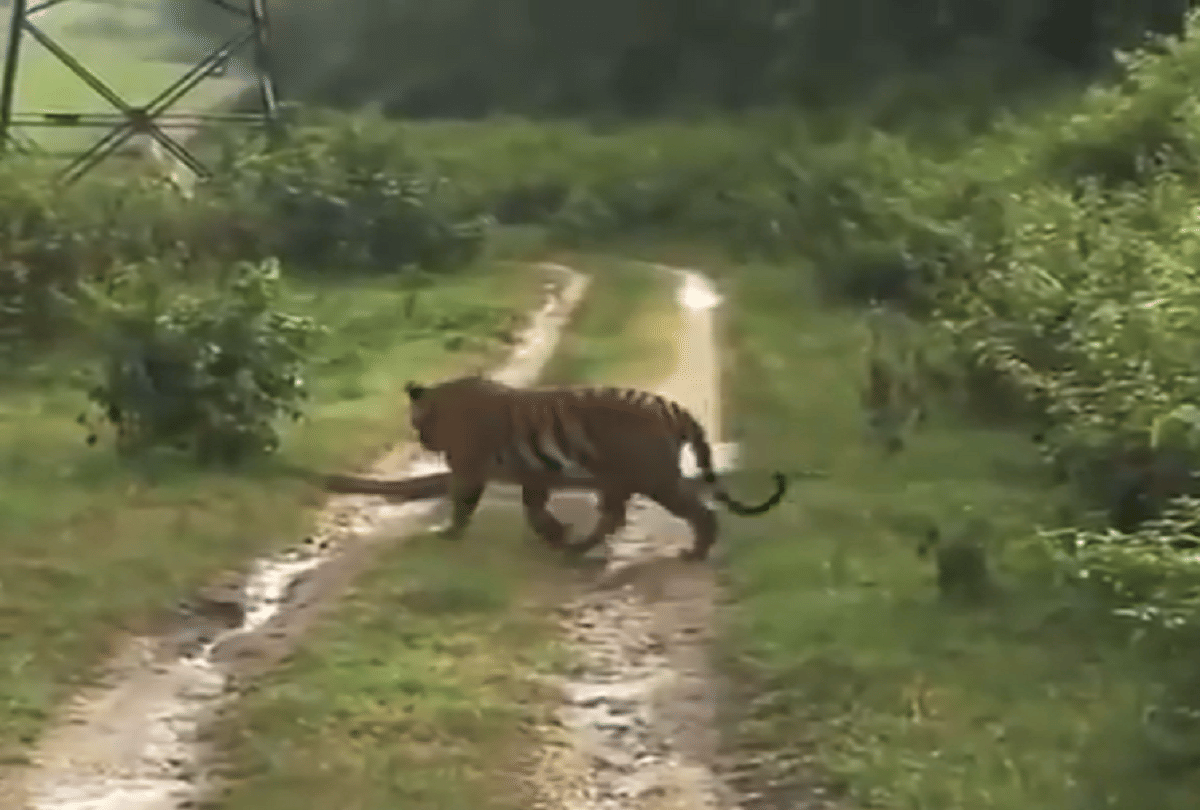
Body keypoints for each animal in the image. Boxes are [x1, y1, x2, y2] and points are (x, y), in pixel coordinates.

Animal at [332, 375, 788, 562]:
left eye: (415, 424)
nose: (424, 441)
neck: (444, 402)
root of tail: (672, 407)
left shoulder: (470, 468)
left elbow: (463, 504)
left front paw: (449, 534)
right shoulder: (533, 475)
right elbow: (534, 509)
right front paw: (555, 533)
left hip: (652, 477)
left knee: (699, 511)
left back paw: (693, 553)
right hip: (622, 479)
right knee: (615, 517)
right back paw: (577, 547)